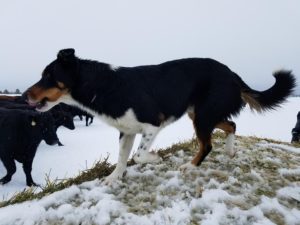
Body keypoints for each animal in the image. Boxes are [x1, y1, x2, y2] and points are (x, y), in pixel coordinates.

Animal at [25, 48, 296, 184]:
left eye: (48, 75)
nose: (25, 96)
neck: (105, 85)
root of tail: (232, 74)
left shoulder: (153, 124)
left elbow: (139, 155)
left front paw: (156, 159)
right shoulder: (126, 131)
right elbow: (122, 158)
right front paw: (114, 178)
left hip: (203, 115)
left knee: (208, 144)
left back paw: (190, 165)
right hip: (201, 113)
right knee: (232, 124)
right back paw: (230, 151)